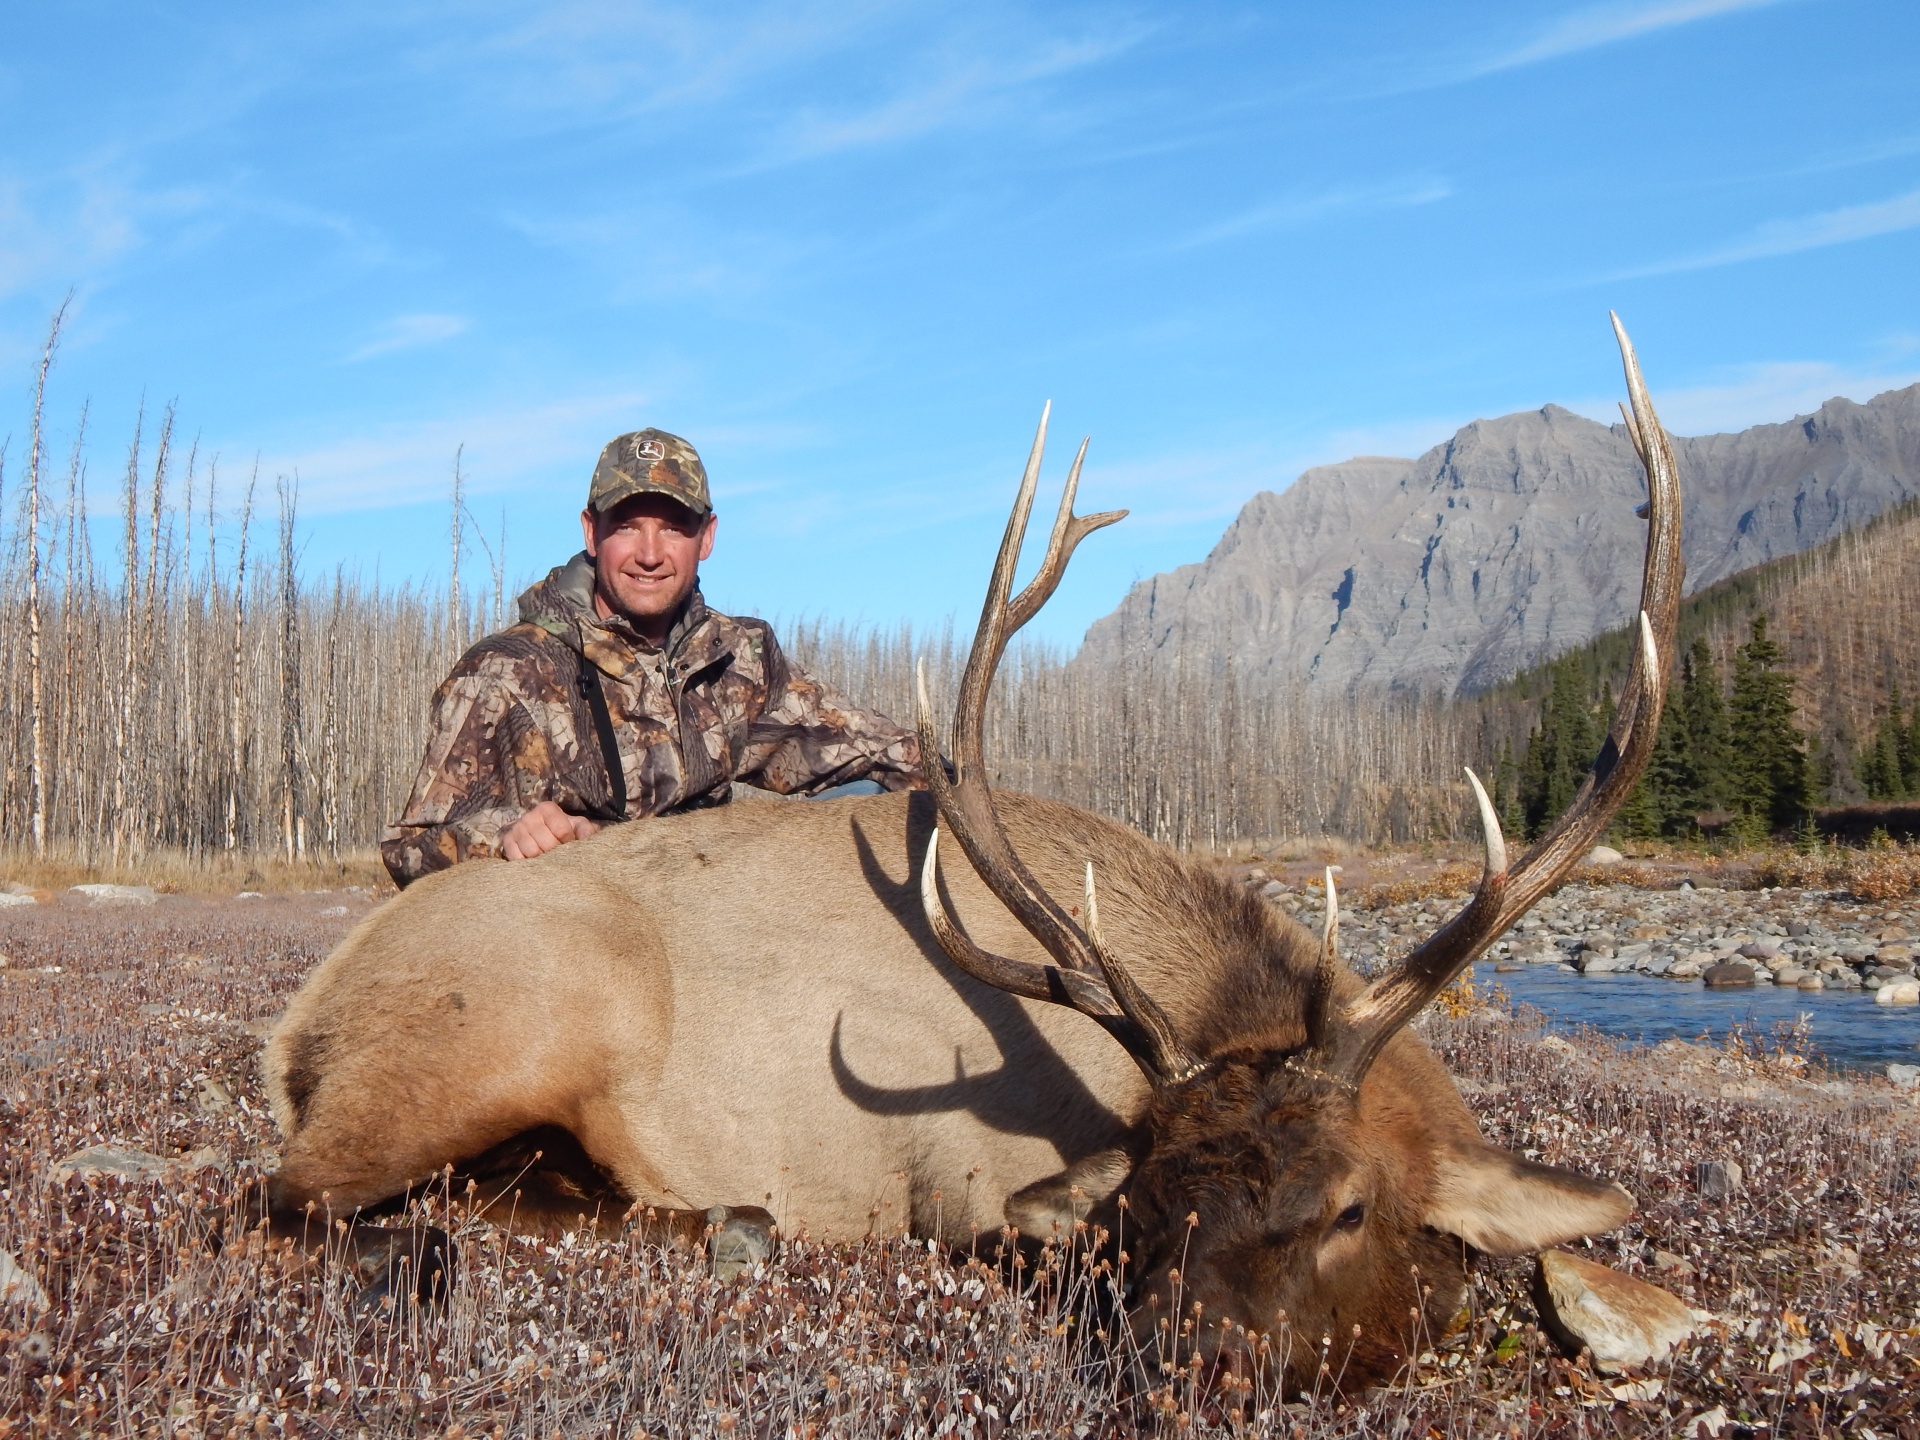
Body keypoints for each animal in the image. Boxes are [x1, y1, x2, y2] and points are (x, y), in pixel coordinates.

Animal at [259, 318, 1681, 1397]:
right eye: (1147, 1208)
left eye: (1346, 1207)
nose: (1178, 1365)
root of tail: (298, 1022)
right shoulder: (964, 1189)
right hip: (513, 1024)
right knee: (290, 1202)